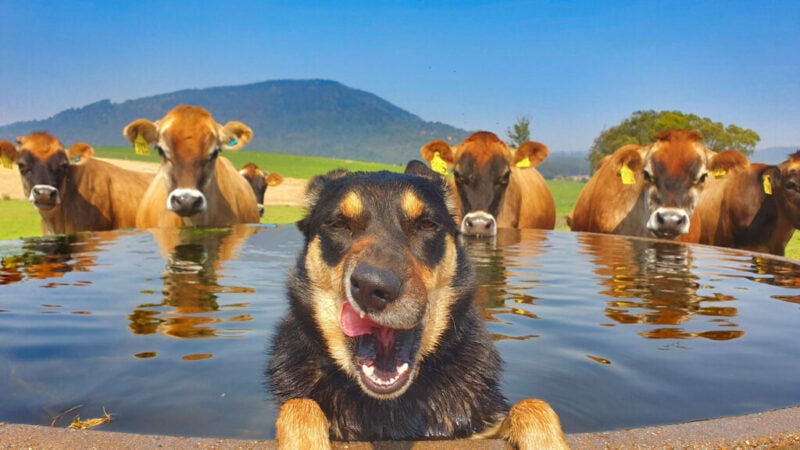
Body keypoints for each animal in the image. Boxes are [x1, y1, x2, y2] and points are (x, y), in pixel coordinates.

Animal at [266, 165, 564, 450]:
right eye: (339, 224)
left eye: (426, 224)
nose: (373, 288)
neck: (390, 407)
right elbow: (299, 406)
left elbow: (534, 406)